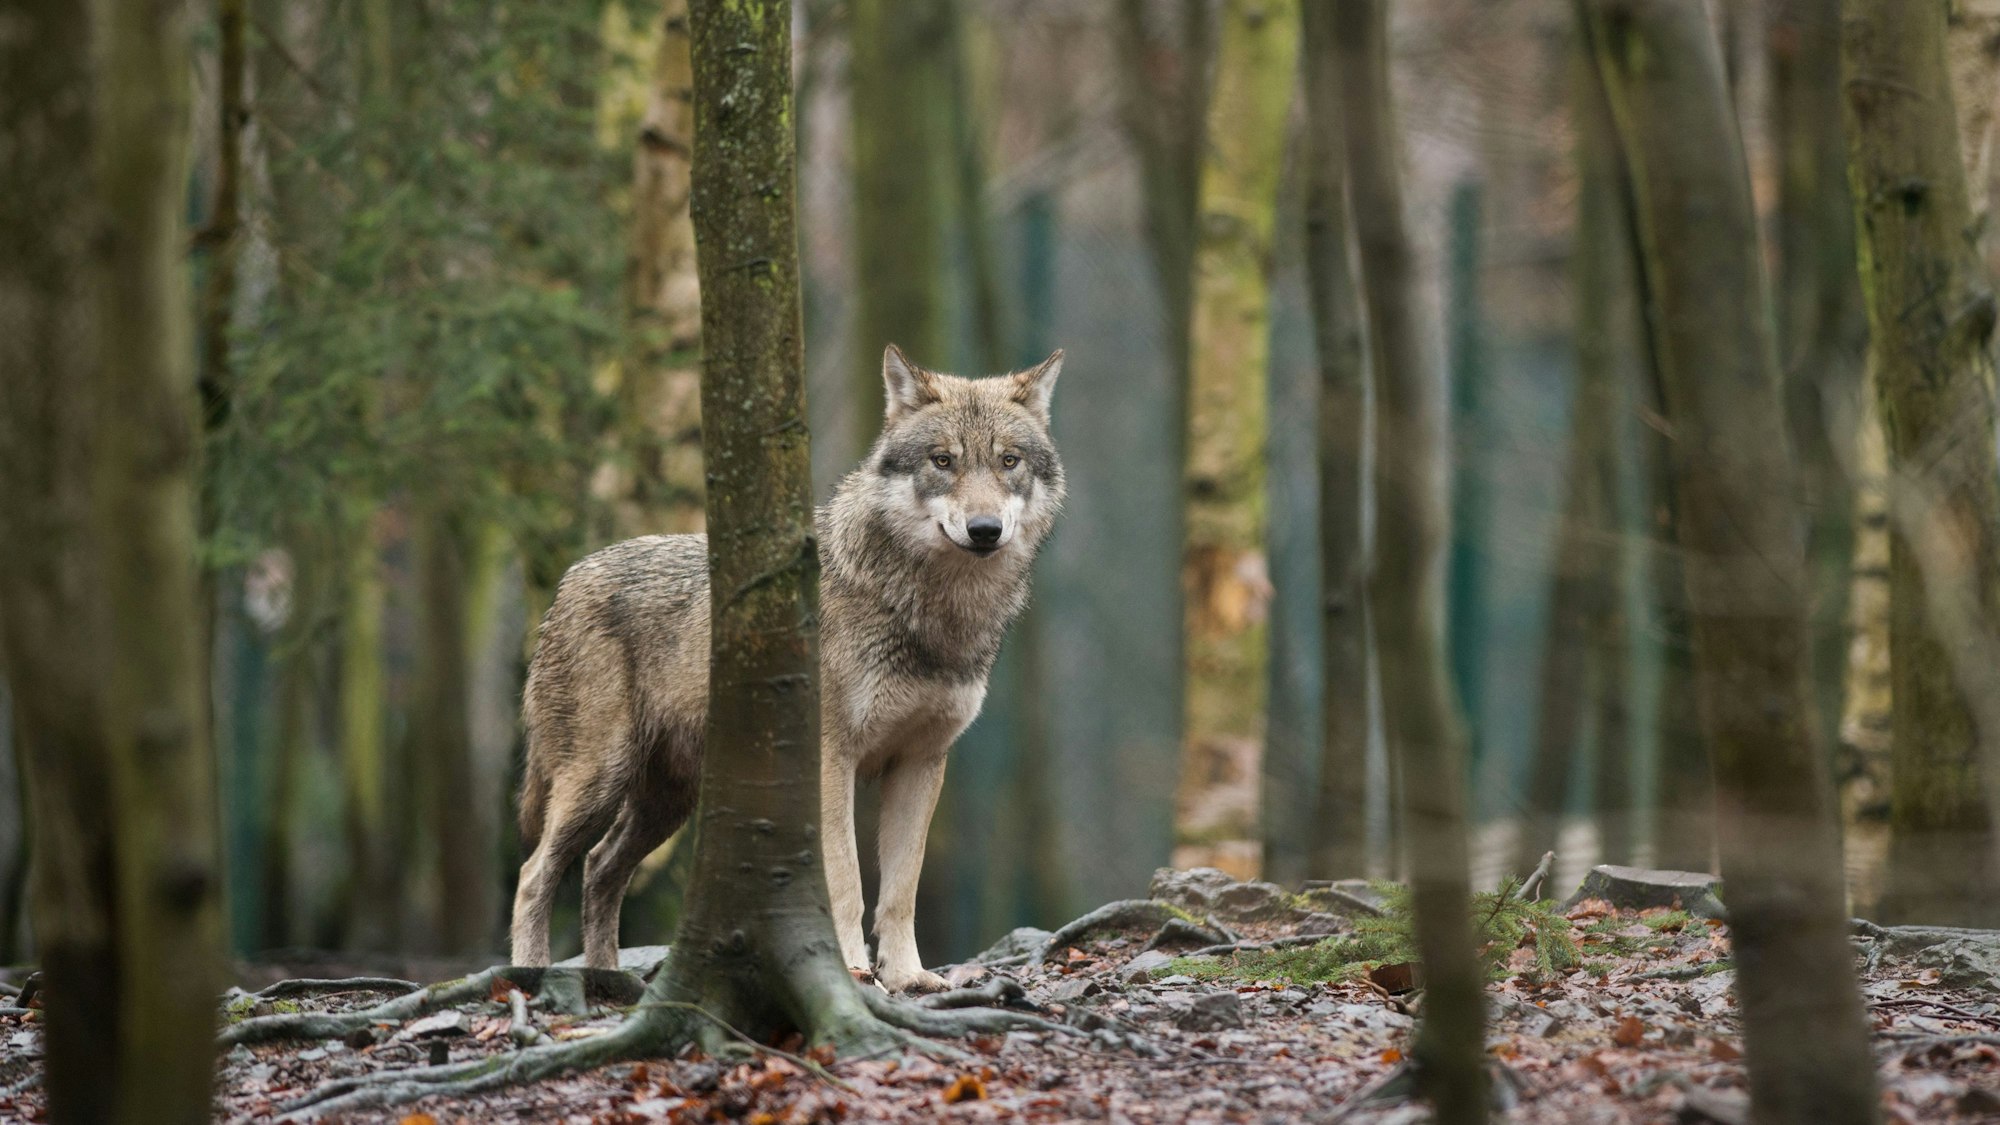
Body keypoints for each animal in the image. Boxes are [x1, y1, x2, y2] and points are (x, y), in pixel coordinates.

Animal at [508, 345, 1065, 992]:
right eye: (943, 461)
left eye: (1008, 461)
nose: (984, 530)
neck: (932, 614)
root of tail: (568, 580)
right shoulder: (831, 759)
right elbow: (846, 882)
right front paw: (851, 970)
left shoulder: (921, 763)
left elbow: (901, 890)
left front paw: (908, 977)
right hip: (599, 780)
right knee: (534, 874)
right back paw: (531, 976)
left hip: (666, 802)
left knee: (599, 869)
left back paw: (608, 981)